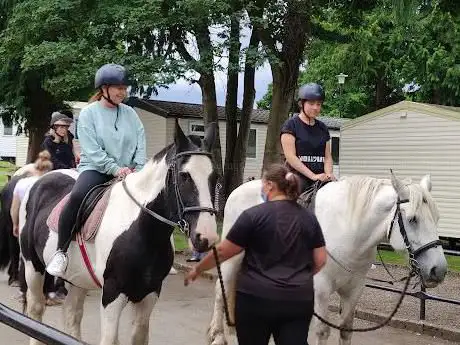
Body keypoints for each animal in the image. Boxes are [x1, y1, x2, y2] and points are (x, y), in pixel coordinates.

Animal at [17, 121, 219, 344]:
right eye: (184, 176)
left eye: (215, 176)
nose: (206, 237)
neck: (142, 230)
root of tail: (39, 180)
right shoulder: (112, 294)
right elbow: (110, 338)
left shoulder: (150, 293)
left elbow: (139, 335)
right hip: (33, 267)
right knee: (36, 310)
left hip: (77, 279)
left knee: (72, 315)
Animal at [208, 172, 446, 344]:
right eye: (413, 219)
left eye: (437, 217)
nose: (439, 270)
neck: (348, 230)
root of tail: (238, 190)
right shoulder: (321, 288)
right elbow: (322, 331)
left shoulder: (354, 289)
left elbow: (346, 330)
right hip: (233, 258)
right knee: (221, 290)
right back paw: (217, 336)